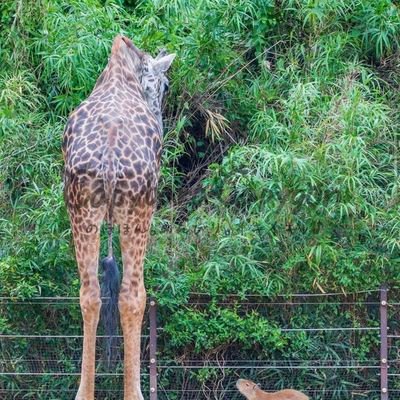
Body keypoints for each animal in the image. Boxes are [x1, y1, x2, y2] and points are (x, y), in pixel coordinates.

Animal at [62, 35, 175, 400]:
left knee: (89, 294)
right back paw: (134, 392)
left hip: (80, 210)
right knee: (132, 296)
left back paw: (84, 393)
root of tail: (110, 158)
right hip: (138, 211)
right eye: (165, 85)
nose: (160, 116)